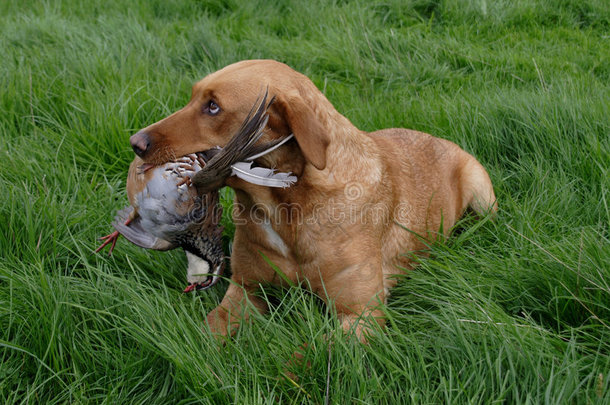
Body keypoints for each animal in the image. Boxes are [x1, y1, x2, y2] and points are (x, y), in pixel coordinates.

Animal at [128, 59, 494, 338]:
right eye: (193, 98)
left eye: (213, 106)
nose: (135, 143)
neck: (284, 208)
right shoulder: (245, 290)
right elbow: (209, 331)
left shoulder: (360, 314)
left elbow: (304, 361)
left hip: (483, 195)